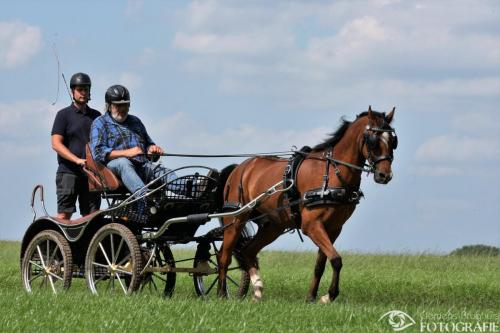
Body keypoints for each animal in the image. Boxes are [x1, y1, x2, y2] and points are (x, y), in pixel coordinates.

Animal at [217, 105, 396, 300]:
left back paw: (257, 290)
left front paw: (311, 296)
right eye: (373, 140)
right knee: (224, 256)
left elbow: (321, 264)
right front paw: (329, 296)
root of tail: (240, 168)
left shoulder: (334, 228)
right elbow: (336, 259)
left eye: (393, 141)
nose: (385, 175)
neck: (331, 173)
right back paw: (221, 293)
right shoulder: (311, 225)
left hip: (273, 226)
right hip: (236, 219)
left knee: (248, 251)